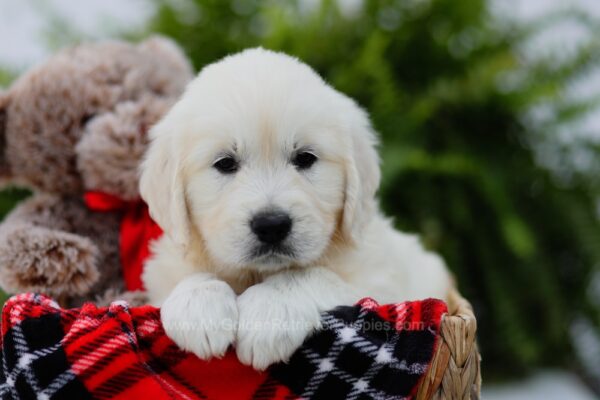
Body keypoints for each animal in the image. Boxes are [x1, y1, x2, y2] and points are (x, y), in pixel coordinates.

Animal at [141, 48, 450, 370]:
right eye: (225, 163)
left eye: (305, 158)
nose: (271, 225)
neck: (255, 274)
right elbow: (188, 278)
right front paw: (198, 308)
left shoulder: (381, 290)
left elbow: (312, 275)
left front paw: (269, 312)